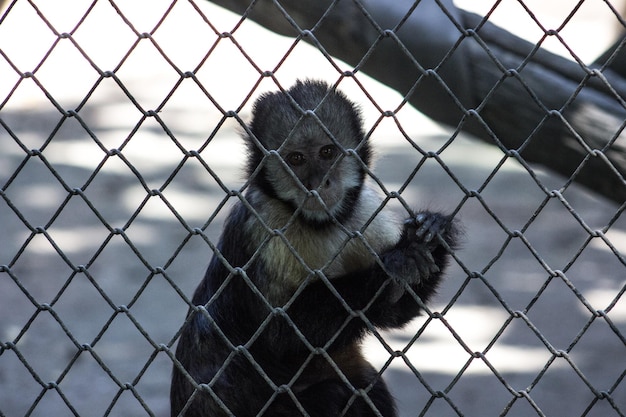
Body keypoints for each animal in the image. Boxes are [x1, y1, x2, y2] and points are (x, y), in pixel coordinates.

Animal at [168, 79, 456, 414]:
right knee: (334, 393)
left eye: (327, 152)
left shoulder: (364, 213)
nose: (318, 183)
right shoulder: (263, 226)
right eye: (296, 159)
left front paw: (431, 235)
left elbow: (395, 312)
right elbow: (280, 336)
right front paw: (392, 267)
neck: (316, 224)